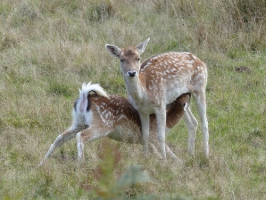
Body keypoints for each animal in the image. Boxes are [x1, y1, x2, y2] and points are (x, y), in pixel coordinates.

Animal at [38, 81, 190, 166]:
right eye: (183, 95)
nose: (189, 92)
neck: (168, 123)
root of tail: (84, 96)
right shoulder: (153, 134)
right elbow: (164, 147)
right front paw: (177, 161)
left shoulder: (144, 139)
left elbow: (152, 149)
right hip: (102, 124)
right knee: (81, 136)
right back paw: (81, 163)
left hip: (78, 122)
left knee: (60, 137)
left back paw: (42, 163)